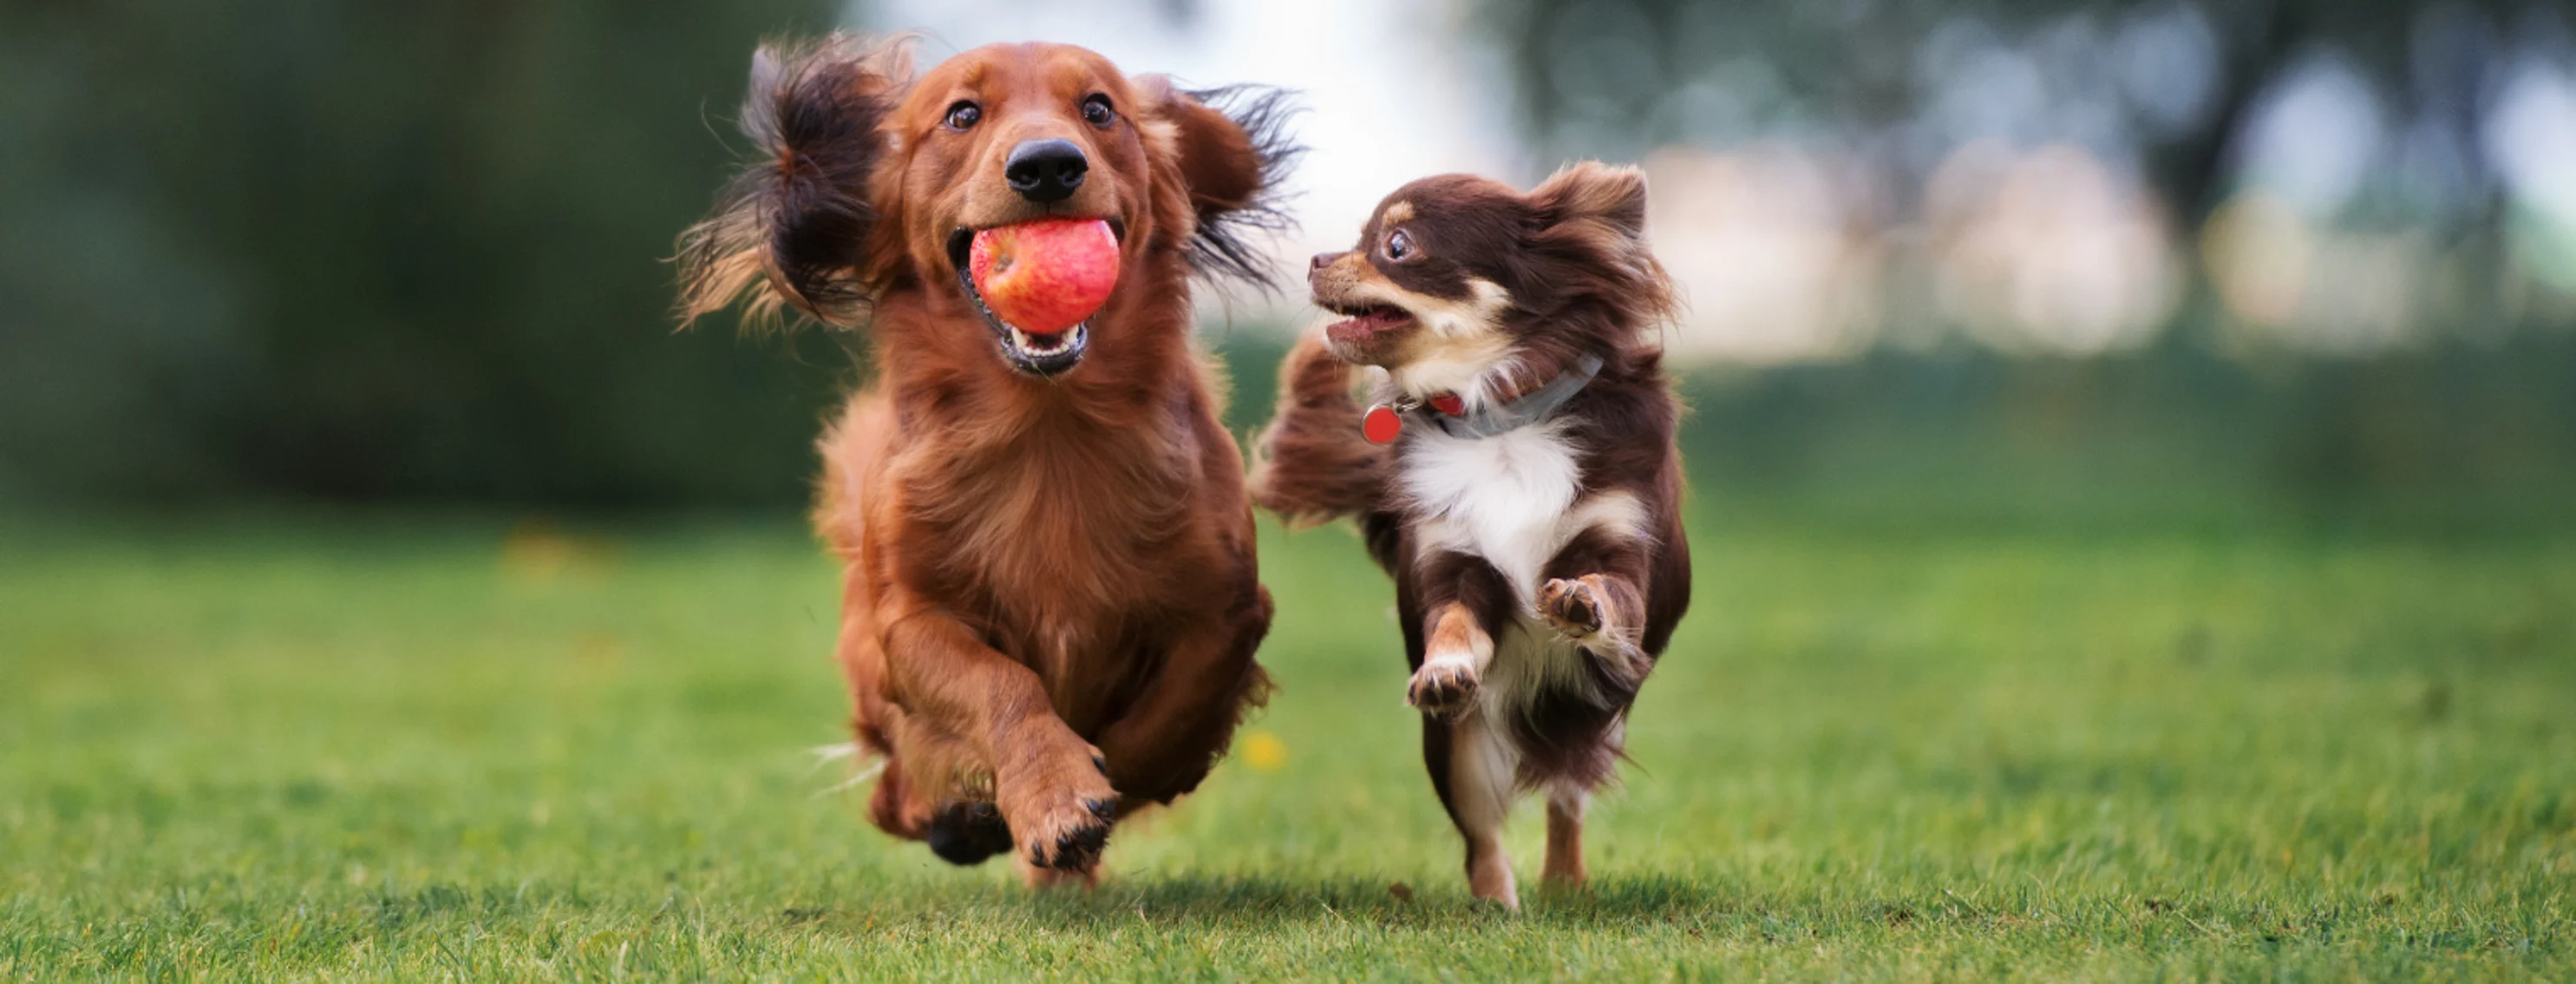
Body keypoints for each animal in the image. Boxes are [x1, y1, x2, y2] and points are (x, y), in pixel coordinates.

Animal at [680, 36, 1298, 886]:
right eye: (962, 115)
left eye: (1099, 108)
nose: (1047, 166)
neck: (1048, 430)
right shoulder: (909, 622)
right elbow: (1001, 684)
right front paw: (1052, 793)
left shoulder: (1228, 605)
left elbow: (1171, 712)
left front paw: (1106, 783)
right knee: (894, 790)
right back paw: (958, 817)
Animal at [1246, 161, 1690, 906]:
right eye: (1359, 238)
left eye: (1397, 246)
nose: (1316, 259)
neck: (1498, 418)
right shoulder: (1453, 563)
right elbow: (1454, 622)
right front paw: (1446, 667)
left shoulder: (1621, 546)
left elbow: (1609, 589)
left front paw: (1581, 602)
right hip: (1456, 750)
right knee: (1483, 837)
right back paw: (1495, 907)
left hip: (1594, 717)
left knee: (1565, 798)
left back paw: (1564, 884)